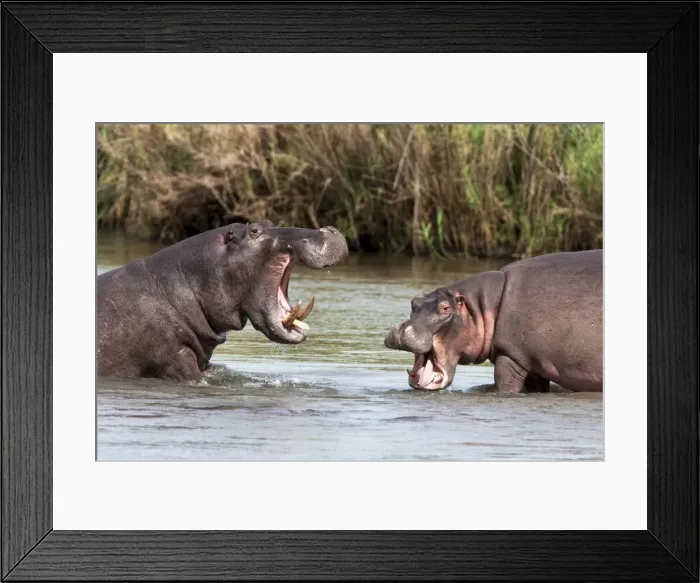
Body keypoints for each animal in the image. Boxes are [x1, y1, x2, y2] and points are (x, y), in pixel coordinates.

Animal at [384, 250, 602, 393]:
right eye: (414, 302)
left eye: (445, 308)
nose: (402, 329)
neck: (481, 307)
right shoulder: (532, 363)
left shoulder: (511, 356)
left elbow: (505, 385)